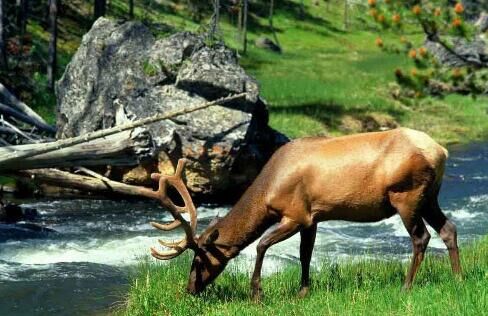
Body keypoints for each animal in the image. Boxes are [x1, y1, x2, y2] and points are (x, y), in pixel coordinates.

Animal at [141, 127, 462, 300]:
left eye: (198, 259)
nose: (189, 289)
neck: (267, 191)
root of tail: (441, 151)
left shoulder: (295, 214)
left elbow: (261, 245)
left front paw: (256, 293)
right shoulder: (313, 217)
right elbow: (305, 254)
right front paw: (303, 291)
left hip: (406, 195)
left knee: (421, 237)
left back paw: (406, 286)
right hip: (429, 196)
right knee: (448, 228)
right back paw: (458, 277)